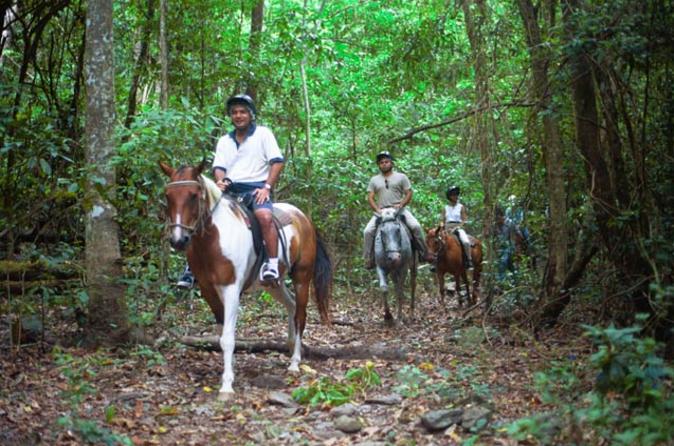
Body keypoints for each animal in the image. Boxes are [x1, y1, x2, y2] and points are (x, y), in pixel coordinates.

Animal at [161, 161, 334, 398]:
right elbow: (221, 336)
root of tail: (303, 217)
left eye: (194, 195)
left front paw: (226, 386)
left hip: (302, 276)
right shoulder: (208, 290)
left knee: (300, 314)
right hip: (273, 284)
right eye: (168, 196)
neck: (214, 240)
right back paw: (290, 346)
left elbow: (227, 337)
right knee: (290, 305)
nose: (178, 240)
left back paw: (295, 362)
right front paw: (228, 371)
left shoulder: (231, 289)